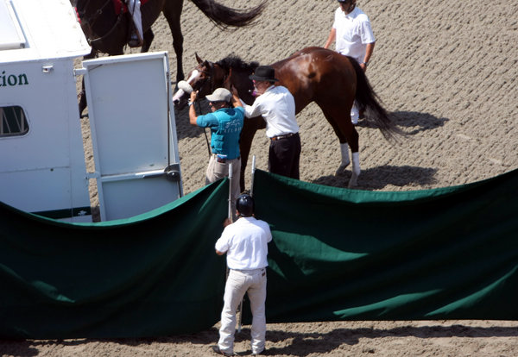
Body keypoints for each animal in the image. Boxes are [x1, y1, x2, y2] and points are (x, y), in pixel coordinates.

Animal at [173, 47, 404, 189]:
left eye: (200, 79)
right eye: (190, 75)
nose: (176, 99)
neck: (243, 86)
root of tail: (342, 57)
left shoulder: (246, 132)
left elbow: (242, 161)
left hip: (339, 107)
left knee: (352, 135)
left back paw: (354, 177)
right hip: (328, 107)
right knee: (341, 135)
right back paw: (342, 168)